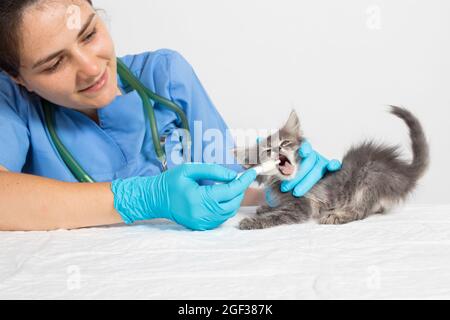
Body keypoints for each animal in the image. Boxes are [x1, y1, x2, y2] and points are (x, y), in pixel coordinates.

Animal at [236, 105, 428, 230]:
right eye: (267, 151)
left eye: (285, 143)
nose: (278, 150)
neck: (286, 181)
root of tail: (403, 172)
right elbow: (276, 208)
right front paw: (266, 207)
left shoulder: (301, 208)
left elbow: (279, 216)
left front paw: (252, 221)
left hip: (370, 175)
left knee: (360, 211)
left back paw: (337, 215)